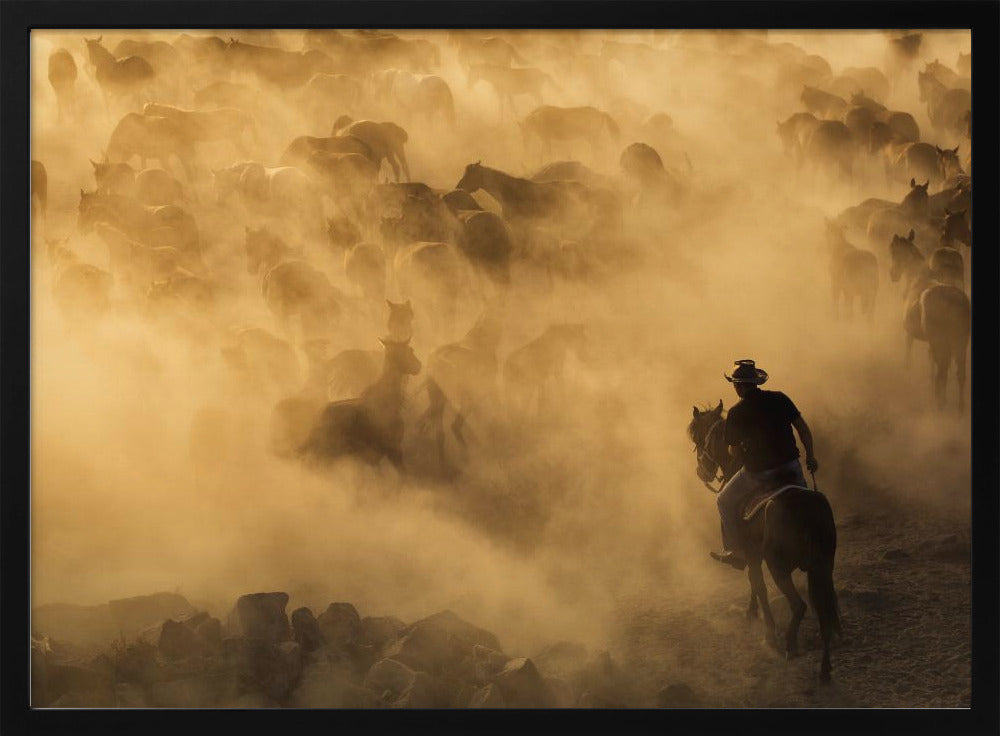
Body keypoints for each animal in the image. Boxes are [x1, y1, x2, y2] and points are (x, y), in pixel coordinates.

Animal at [688, 402, 844, 684]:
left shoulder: (751, 555)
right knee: (824, 611)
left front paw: (768, 633)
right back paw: (825, 669)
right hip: (822, 568)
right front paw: (752, 612)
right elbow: (754, 582)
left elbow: (758, 585)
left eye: (697, 438)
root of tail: (808, 508)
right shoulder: (755, 557)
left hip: (780, 567)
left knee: (800, 606)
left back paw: (790, 645)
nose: (701, 472)